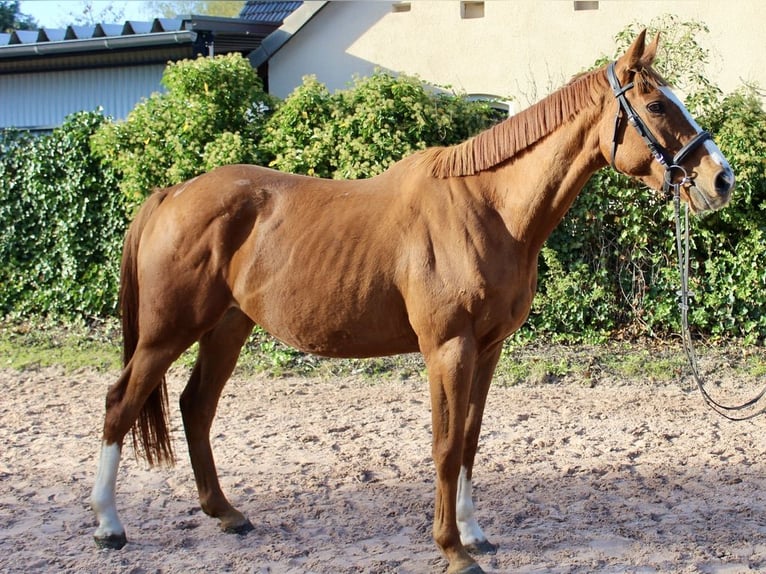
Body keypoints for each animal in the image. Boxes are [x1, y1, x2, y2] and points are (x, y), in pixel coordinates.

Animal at [93, 32, 736, 574]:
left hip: (226, 327)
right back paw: (108, 525)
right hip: (166, 333)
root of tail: (172, 193)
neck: (488, 207)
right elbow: (446, 445)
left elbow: (471, 438)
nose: (721, 179)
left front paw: (474, 533)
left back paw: (226, 514)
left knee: (196, 407)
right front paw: (452, 550)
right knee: (121, 403)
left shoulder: (487, 349)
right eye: (656, 106)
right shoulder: (447, 349)